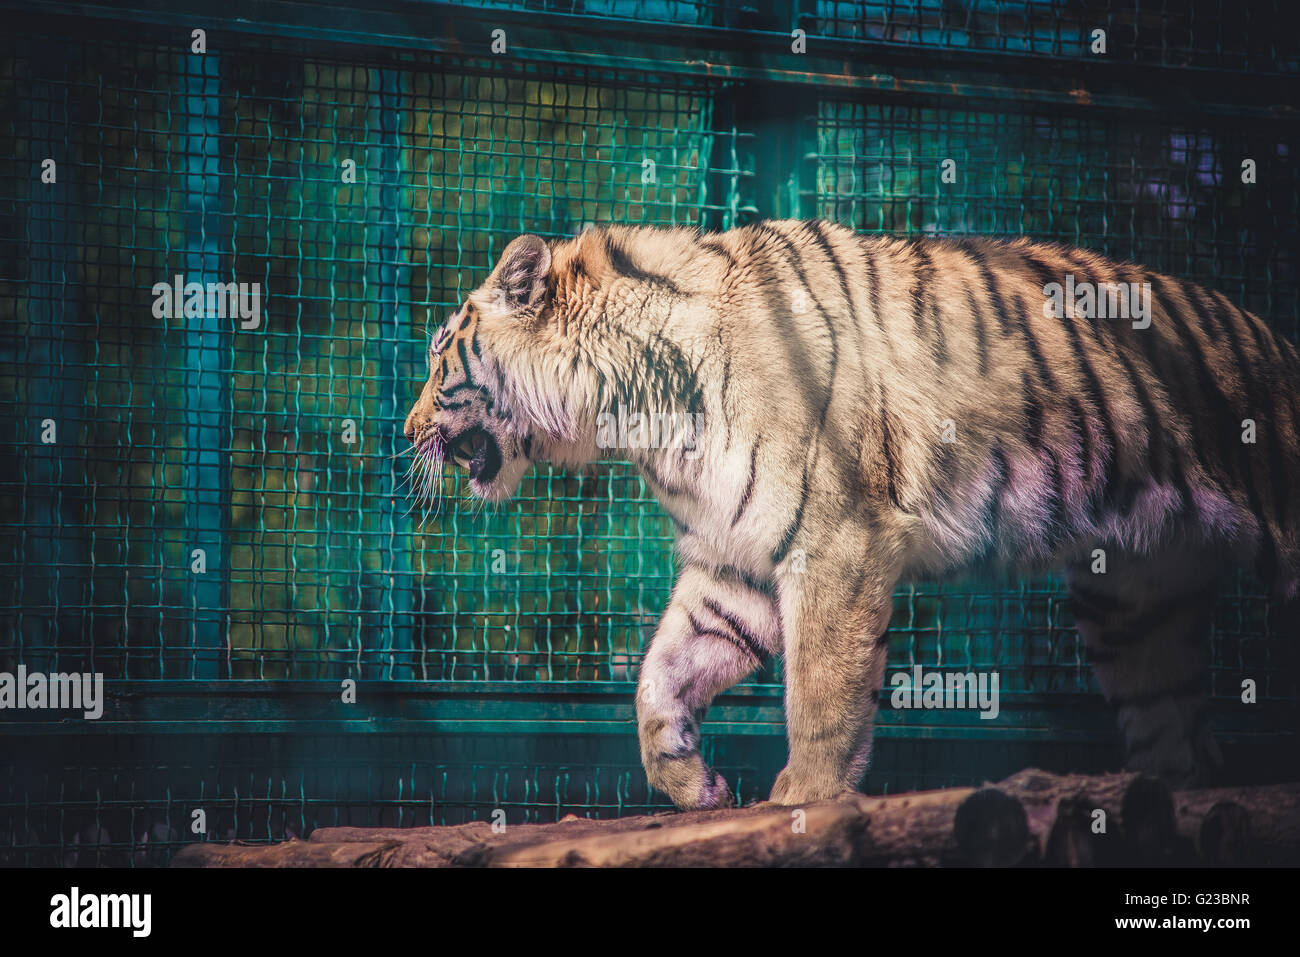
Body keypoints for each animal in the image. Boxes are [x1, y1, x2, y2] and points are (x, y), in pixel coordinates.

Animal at [400, 222, 1294, 806]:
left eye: (440, 358)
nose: (403, 432)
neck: (630, 407)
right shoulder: (736, 557)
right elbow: (662, 672)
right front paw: (690, 779)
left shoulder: (834, 540)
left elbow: (821, 691)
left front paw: (806, 796)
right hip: (1134, 604)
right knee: (1180, 735)